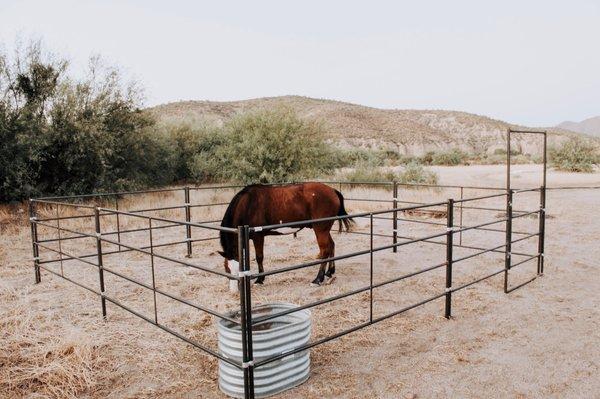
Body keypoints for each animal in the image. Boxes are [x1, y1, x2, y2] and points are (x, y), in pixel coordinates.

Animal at [219, 183, 352, 286]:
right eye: (227, 269)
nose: (235, 290)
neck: (247, 204)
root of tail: (332, 190)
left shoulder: (258, 237)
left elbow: (259, 257)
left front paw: (260, 279)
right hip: (325, 230)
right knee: (331, 245)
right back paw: (330, 272)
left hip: (320, 229)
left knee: (325, 250)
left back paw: (318, 279)